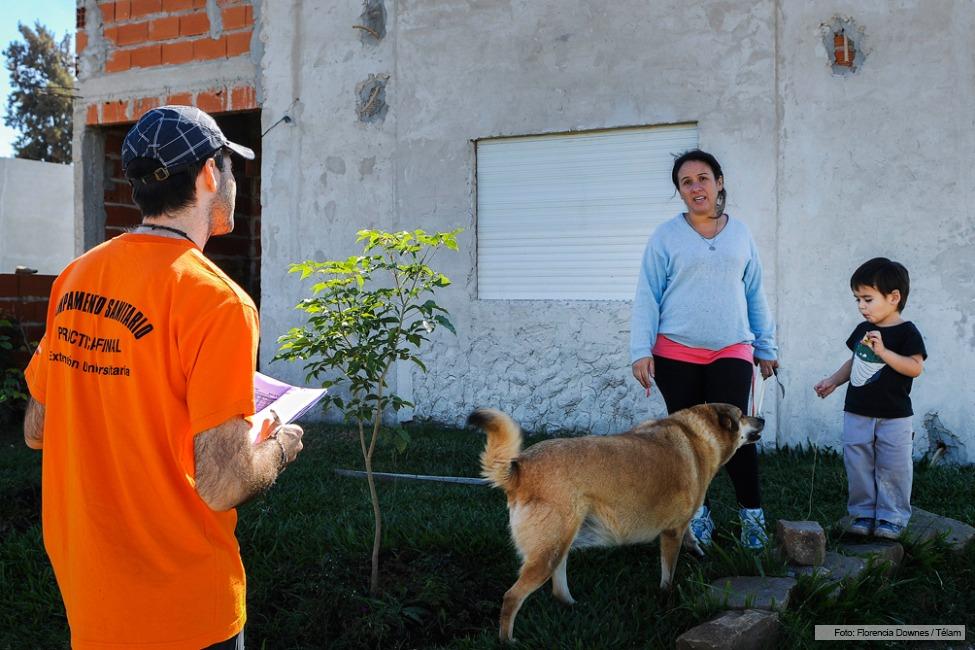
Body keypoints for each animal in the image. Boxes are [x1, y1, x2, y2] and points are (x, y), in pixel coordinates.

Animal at [468, 402, 768, 640]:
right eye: (742, 414)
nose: (762, 418)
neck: (695, 436)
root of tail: (520, 467)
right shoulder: (671, 532)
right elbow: (668, 574)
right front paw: (666, 596)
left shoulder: (680, 525)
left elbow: (690, 536)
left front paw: (697, 550)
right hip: (547, 552)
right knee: (511, 597)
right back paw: (507, 640)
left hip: (560, 542)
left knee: (557, 586)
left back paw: (572, 604)